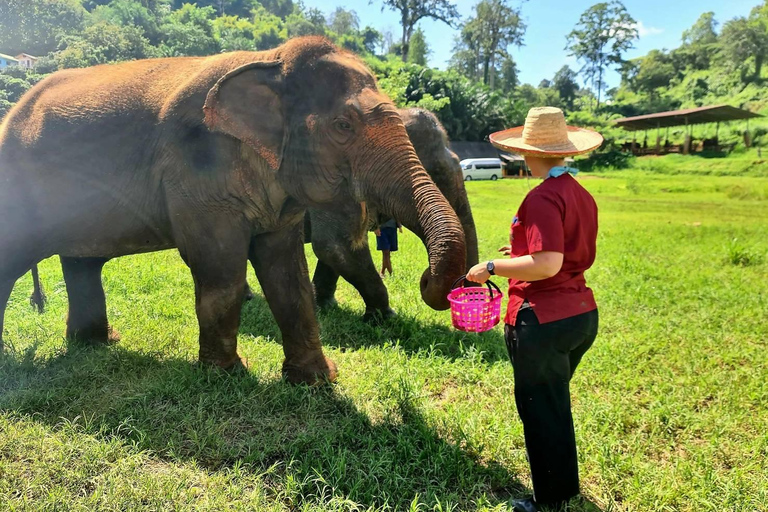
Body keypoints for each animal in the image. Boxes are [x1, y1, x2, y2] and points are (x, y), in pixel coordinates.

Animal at [0, 37, 466, 385]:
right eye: (343, 126)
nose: (427, 278)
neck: (271, 60)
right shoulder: (196, 172)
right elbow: (224, 266)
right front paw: (225, 376)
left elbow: (288, 272)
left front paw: (317, 379)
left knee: (82, 263)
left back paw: (98, 344)